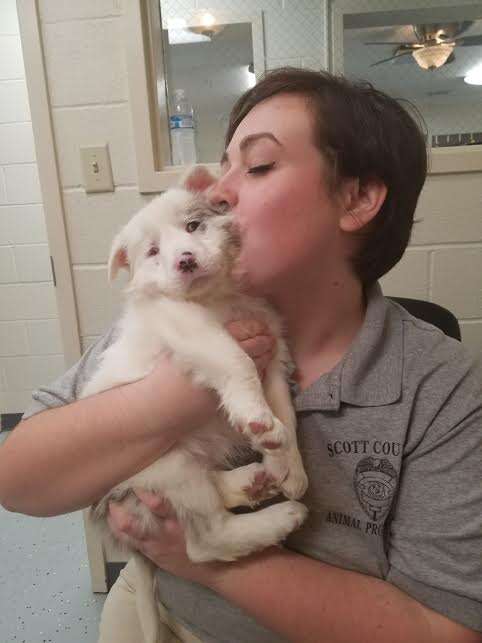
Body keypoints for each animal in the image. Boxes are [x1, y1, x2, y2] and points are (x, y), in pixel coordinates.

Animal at [82, 167, 308, 643]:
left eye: (193, 226)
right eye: (152, 252)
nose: (184, 261)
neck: (215, 298)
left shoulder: (273, 347)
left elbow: (287, 413)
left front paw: (288, 465)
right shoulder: (191, 330)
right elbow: (237, 361)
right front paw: (259, 421)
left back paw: (253, 482)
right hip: (165, 466)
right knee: (207, 542)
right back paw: (280, 516)